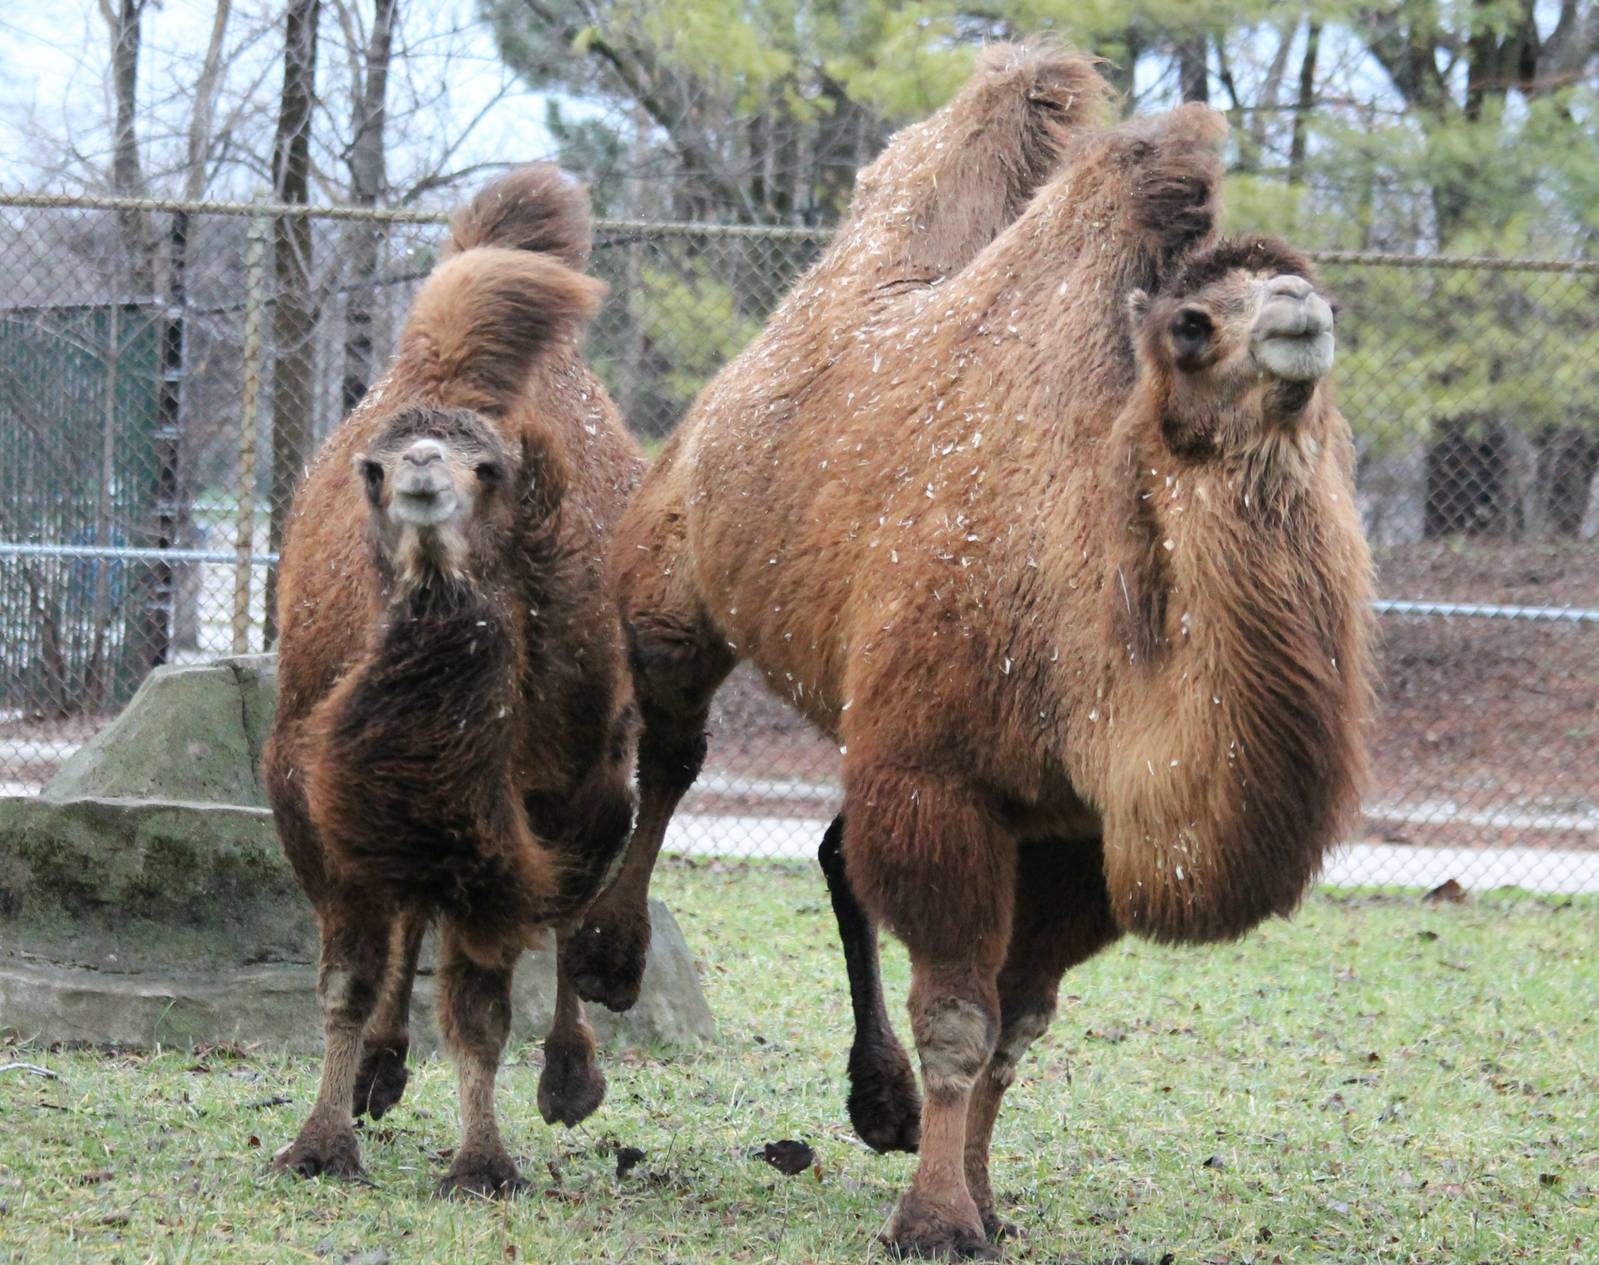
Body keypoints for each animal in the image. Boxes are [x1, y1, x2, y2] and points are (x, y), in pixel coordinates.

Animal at [263, 167, 643, 1197]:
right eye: (373, 469)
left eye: (490, 468)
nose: (422, 479)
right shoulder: (321, 797)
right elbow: (348, 978)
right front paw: (320, 1142)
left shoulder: (542, 804)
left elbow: (482, 1001)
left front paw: (482, 1163)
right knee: (414, 913)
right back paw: (380, 1070)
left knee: (562, 919)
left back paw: (570, 1074)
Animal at [576, 50, 1375, 1258]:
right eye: (1192, 325)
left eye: (1316, 288)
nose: (1301, 323)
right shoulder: (939, 776)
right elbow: (960, 1013)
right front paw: (937, 1217)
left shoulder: (1078, 833)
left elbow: (1019, 1024)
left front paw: (984, 1198)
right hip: (672, 580)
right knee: (672, 750)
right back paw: (607, 959)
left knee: (828, 847)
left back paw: (879, 1102)